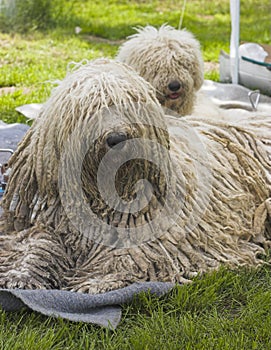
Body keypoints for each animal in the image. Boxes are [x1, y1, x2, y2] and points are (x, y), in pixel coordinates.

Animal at [0, 58, 271, 294]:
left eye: (128, 105)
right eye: (91, 110)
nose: (117, 137)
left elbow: (127, 256)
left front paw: (97, 281)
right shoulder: (50, 226)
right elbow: (34, 244)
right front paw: (21, 275)